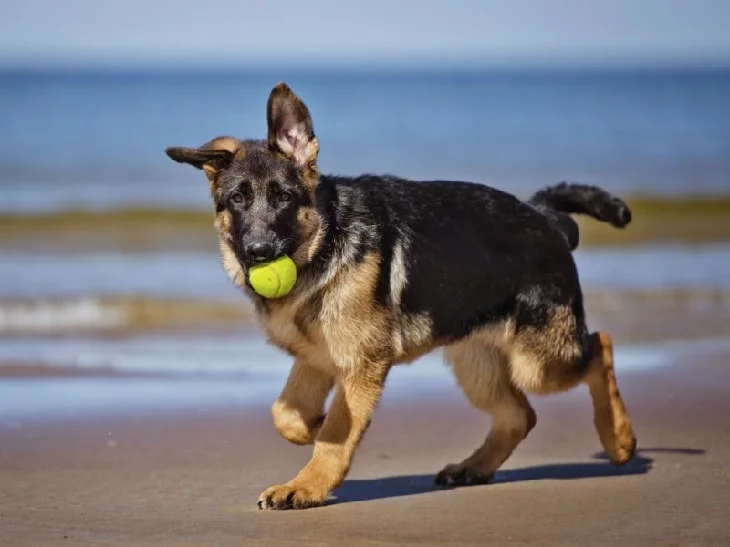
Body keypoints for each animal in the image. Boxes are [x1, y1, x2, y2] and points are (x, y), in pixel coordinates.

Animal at [164, 83, 632, 512]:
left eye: (284, 198)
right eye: (237, 199)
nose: (259, 252)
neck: (325, 240)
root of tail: (544, 216)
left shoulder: (360, 363)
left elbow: (334, 434)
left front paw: (305, 486)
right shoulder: (316, 358)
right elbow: (286, 414)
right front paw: (313, 426)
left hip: (538, 360)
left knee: (600, 347)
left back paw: (620, 439)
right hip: (478, 365)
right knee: (522, 414)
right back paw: (474, 467)